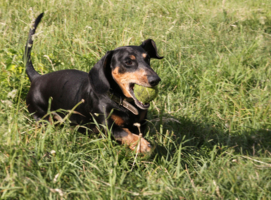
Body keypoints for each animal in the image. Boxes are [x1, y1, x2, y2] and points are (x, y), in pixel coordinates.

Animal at [24, 13, 163, 152]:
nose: (155, 79)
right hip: (42, 116)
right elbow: (125, 133)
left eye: (148, 59)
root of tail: (37, 78)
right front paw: (142, 144)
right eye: (128, 61)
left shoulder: (141, 123)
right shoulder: (107, 126)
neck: (120, 101)